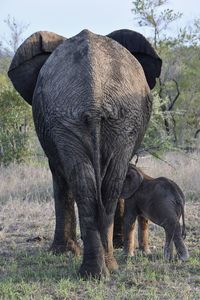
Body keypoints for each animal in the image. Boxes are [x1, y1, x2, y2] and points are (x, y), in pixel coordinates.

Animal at [7, 29, 162, 278]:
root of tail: (93, 97)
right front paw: (64, 253)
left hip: (113, 118)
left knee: (98, 185)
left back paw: (100, 270)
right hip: (78, 118)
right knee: (97, 185)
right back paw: (100, 270)